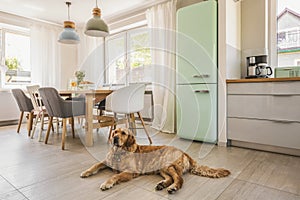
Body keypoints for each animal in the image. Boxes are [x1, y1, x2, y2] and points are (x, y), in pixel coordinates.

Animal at [79, 128, 230, 194]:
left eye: (123, 133)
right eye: (115, 132)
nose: (115, 138)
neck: (119, 152)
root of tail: (184, 152)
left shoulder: (130, 172)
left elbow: (115, 176)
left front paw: (106, 183)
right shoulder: (106, 161)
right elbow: (95, 165)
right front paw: (86, 172)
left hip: (167, 164)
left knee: (179, 179)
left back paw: (173, 188)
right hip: (161, 168)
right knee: (170, 178)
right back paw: (162, 184)